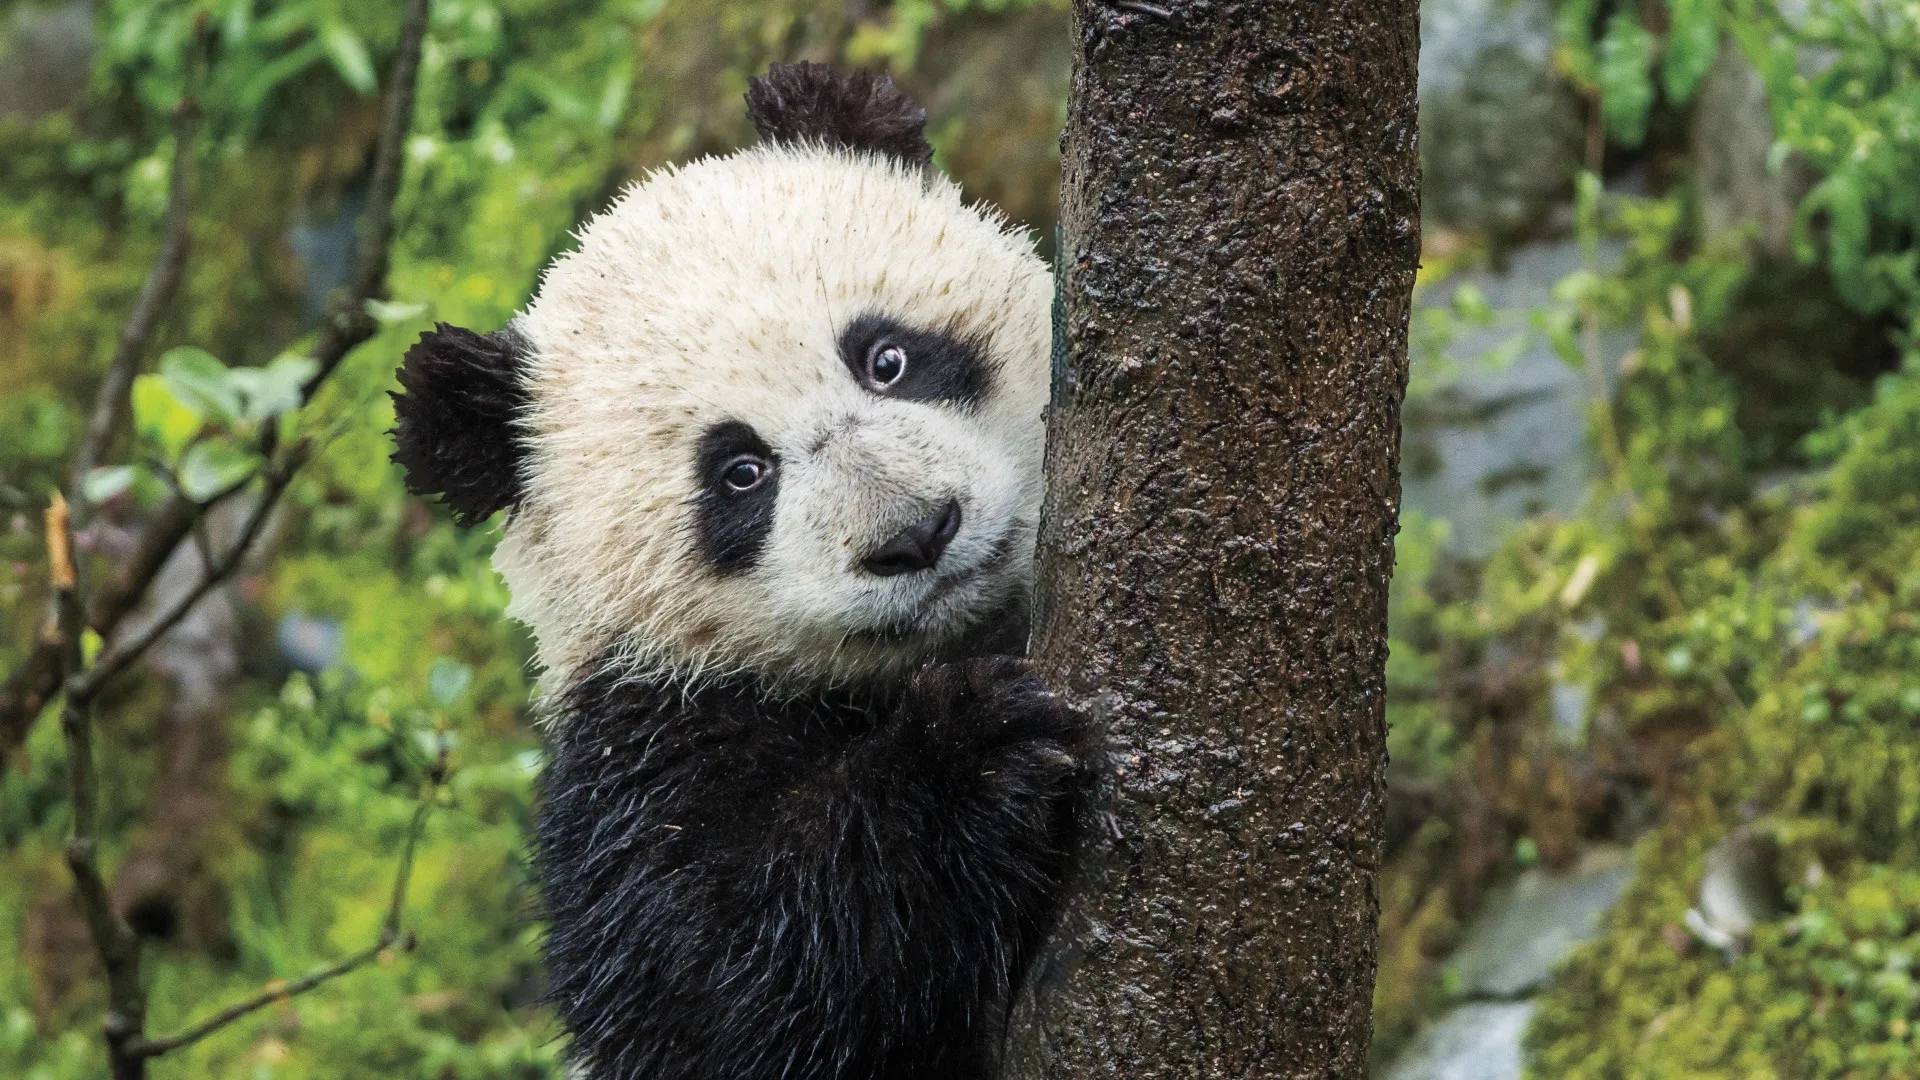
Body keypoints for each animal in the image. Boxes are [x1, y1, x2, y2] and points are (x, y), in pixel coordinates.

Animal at [390, 63, 1090, 1080]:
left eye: (888, 357)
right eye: (740, 473)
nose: (916, 535)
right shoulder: (640, 749)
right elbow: (717, 987)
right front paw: (973, 755)